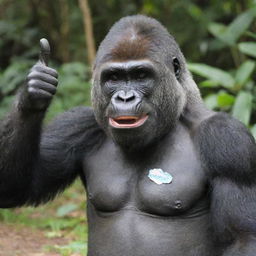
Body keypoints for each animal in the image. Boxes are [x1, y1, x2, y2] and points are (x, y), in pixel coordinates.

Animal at [0, 15, 256, 255]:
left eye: (141, 75)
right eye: (113, 78)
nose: (124, 98)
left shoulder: (228, 140)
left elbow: (244, 237)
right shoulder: (77, 126)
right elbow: (19, 187)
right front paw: (33, 95)